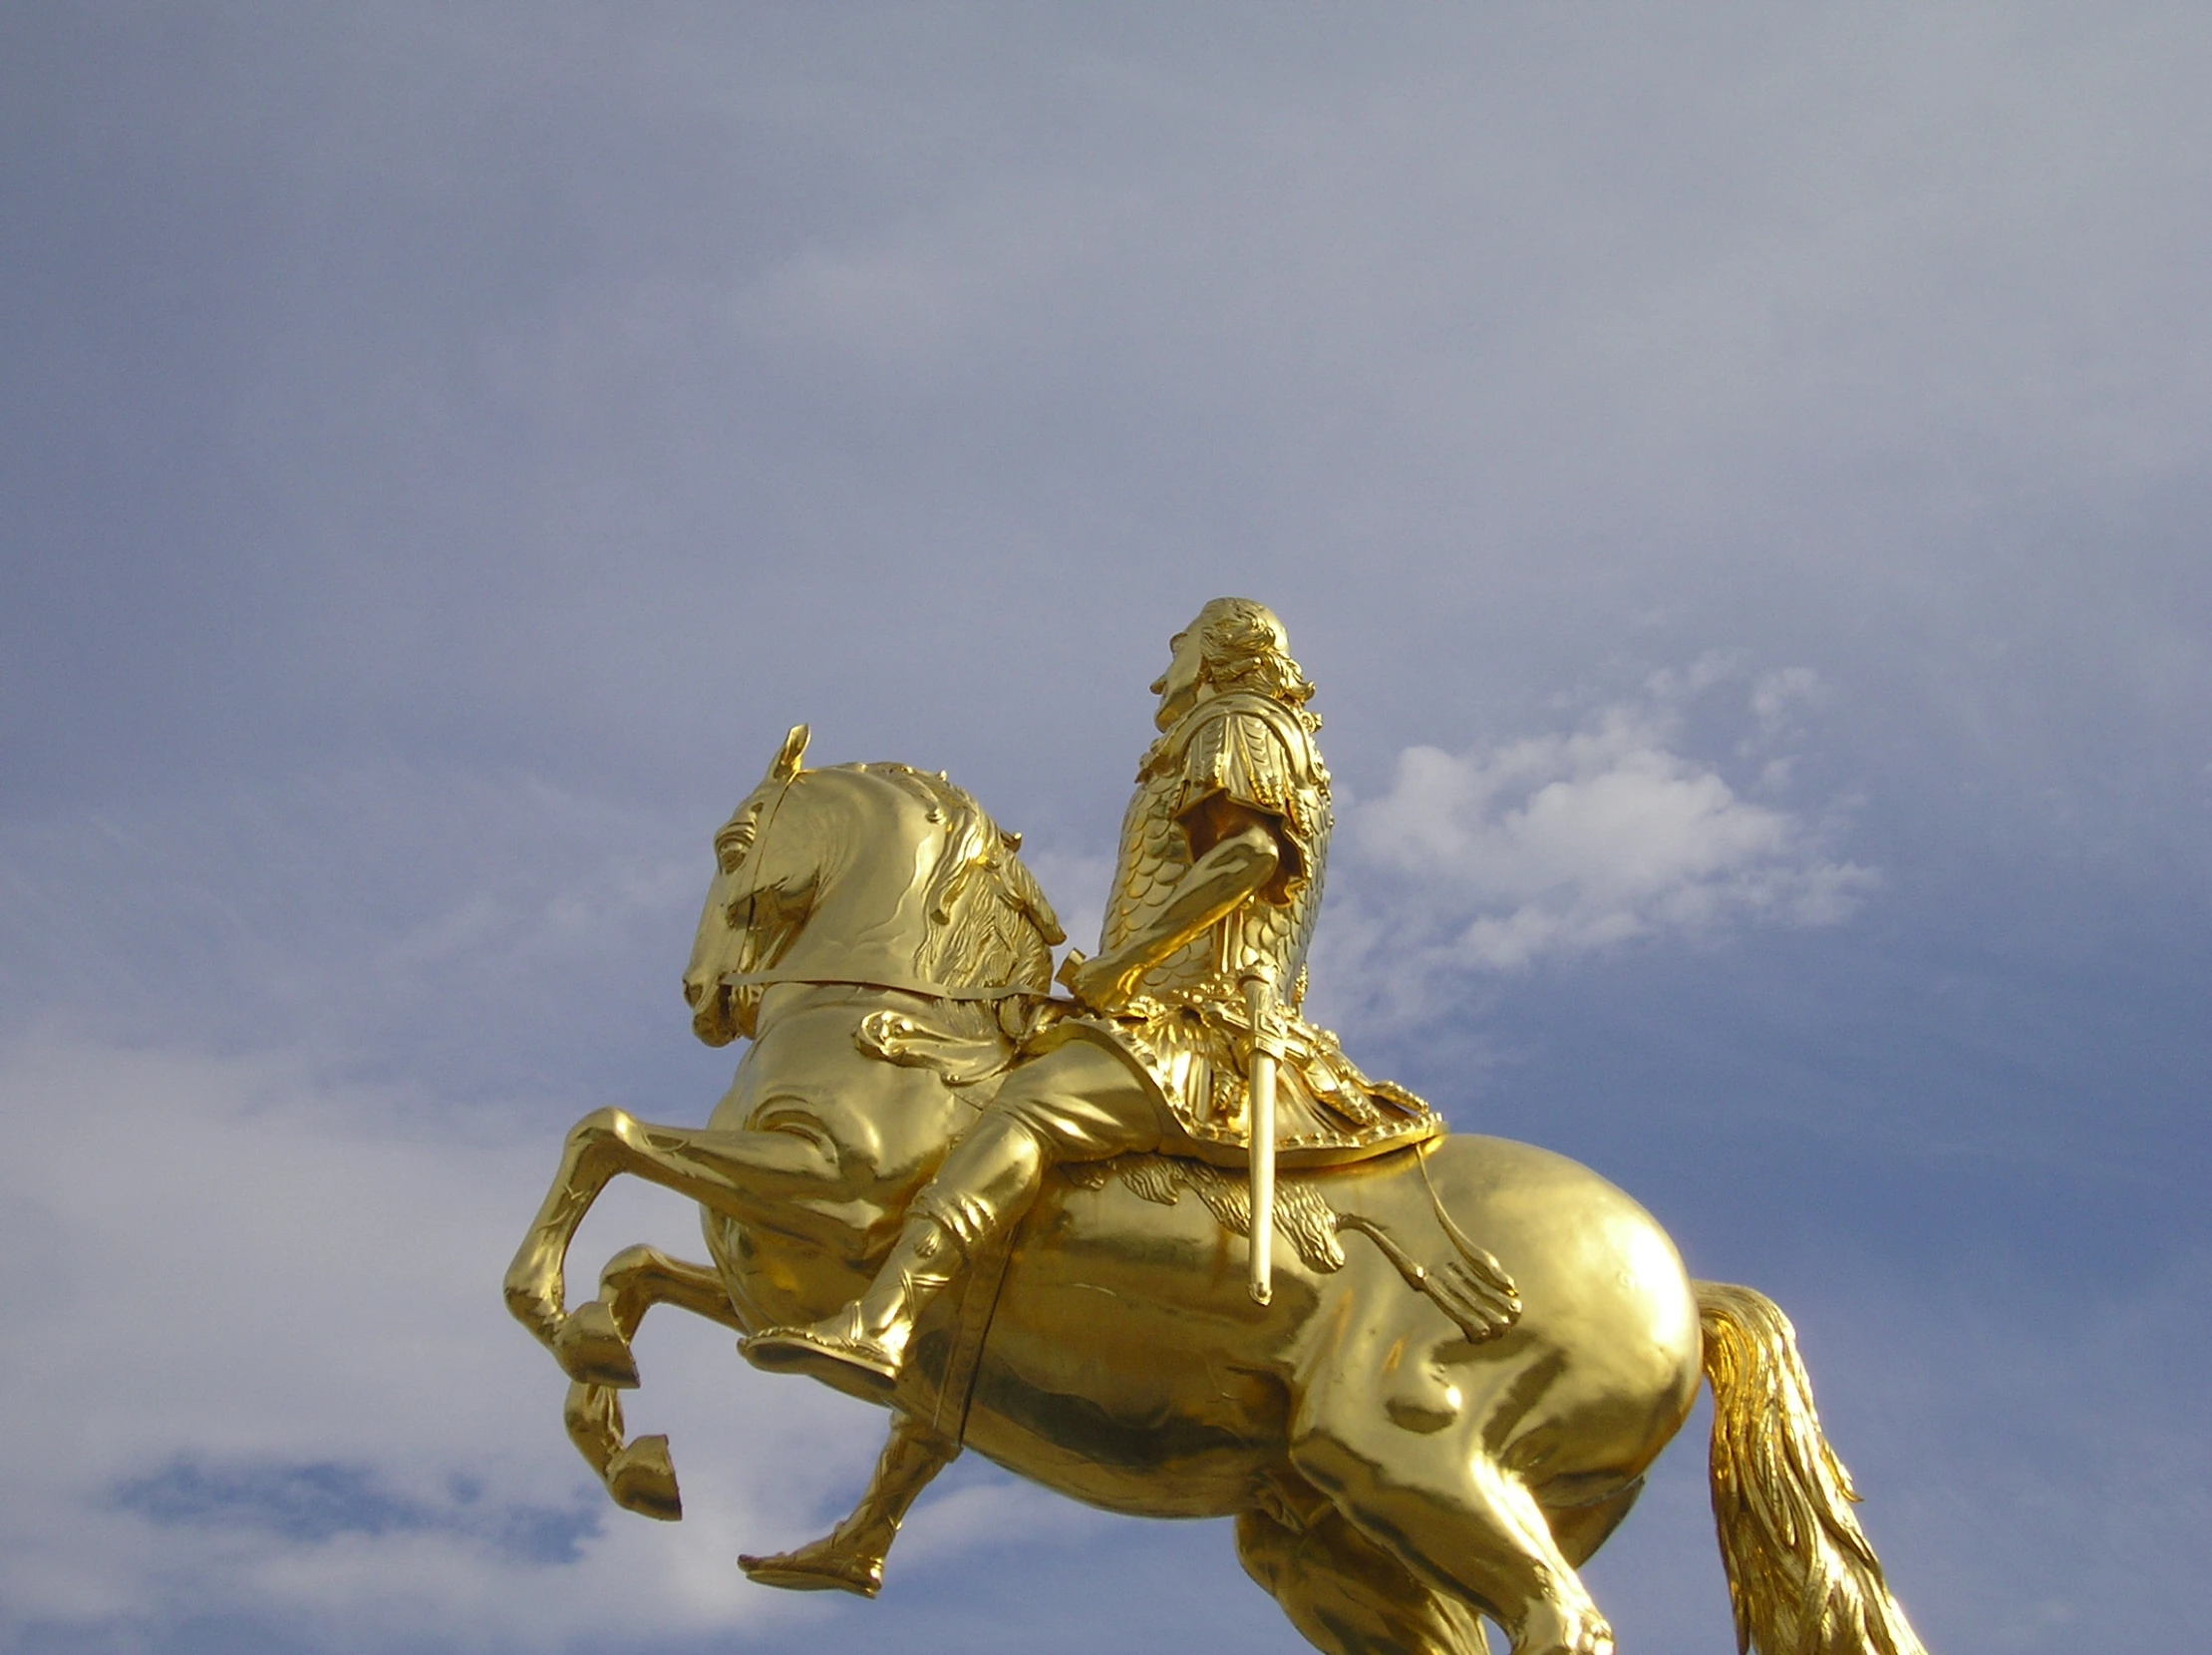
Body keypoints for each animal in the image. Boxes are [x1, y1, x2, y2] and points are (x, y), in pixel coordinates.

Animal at [508, 739, 1928, 1655]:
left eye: (731, 842)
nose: (704, 997)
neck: (899, 1023)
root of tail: (1677, 1281)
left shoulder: (840, 1205)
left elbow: (605, 1136)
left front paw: (556, 1313)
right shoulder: (768, 1257)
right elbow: (636, 1267)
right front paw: (626, 1436)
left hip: (1407, 1455)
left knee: (1560, 1623)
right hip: (1325, 1542)